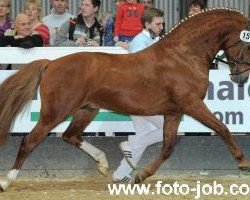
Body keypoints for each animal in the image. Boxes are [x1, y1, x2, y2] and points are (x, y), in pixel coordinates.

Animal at [0, 9, 250, 191]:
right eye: (247, 43)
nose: (241, 77)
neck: (183, 56)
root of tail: (51, 63)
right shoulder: (192, 104)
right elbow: (222, 128)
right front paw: (243, 162)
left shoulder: (174, 112)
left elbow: (167, 147)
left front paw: (140, 176)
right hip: (55, 112)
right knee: (29, 141)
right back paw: (7, 181)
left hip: (86, 110)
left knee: (70, 136)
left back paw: (104, 163)